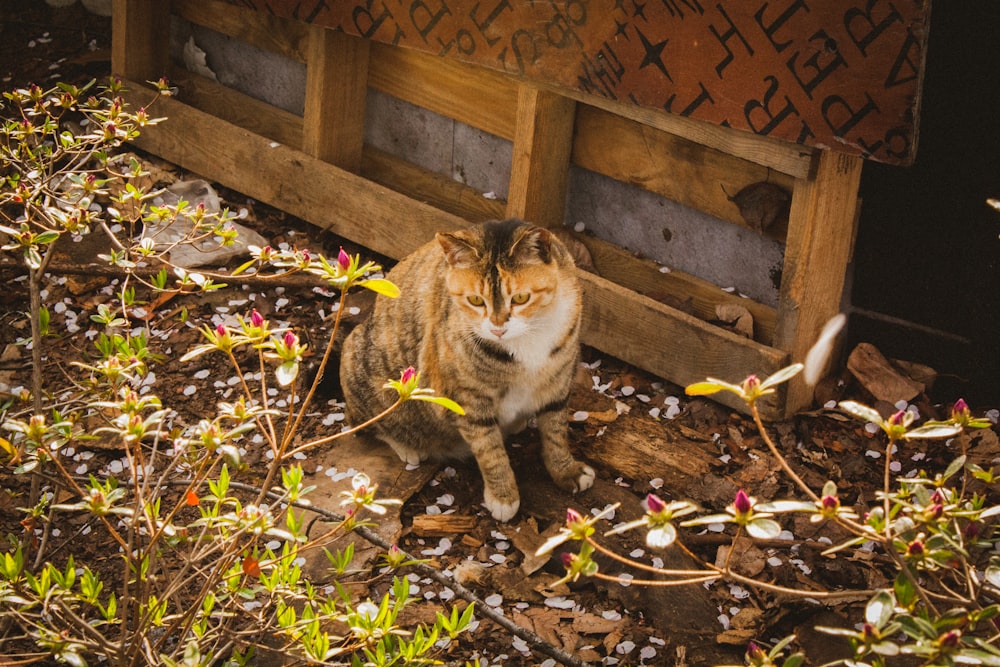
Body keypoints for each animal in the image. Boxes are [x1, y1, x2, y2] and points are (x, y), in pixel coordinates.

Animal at [340, 219, 596, 520]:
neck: (527, 340)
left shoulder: (558, 382)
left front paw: (567, 471)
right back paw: (408, 447)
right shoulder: (467, 400)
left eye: (521, 297)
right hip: (360, 363)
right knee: (367, 420)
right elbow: (490, 450)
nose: (498, 328)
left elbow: (556, 432)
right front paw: (503, 497)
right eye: (475, 300)